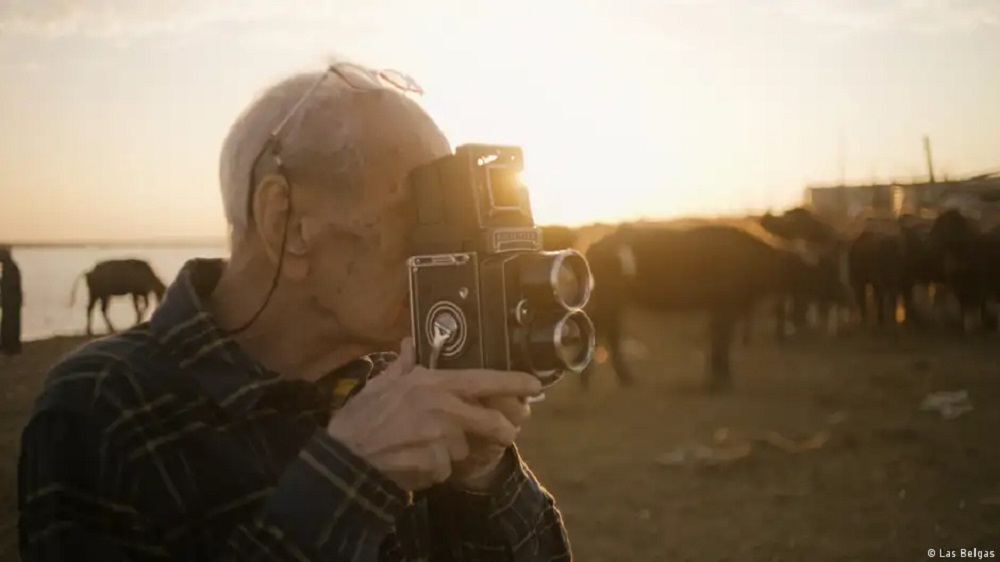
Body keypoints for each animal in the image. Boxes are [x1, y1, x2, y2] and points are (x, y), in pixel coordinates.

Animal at [584, 222, 848, 390]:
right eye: (826, 269)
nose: (845, 295)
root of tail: (594, 247)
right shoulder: (725, 308)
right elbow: (722, 339)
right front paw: (724, 375)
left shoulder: (718, 308)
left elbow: (717, 338)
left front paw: (717, 371)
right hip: (609, 300)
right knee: (605, 332)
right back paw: (610, 378)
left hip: (612, 303)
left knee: (605, 332)